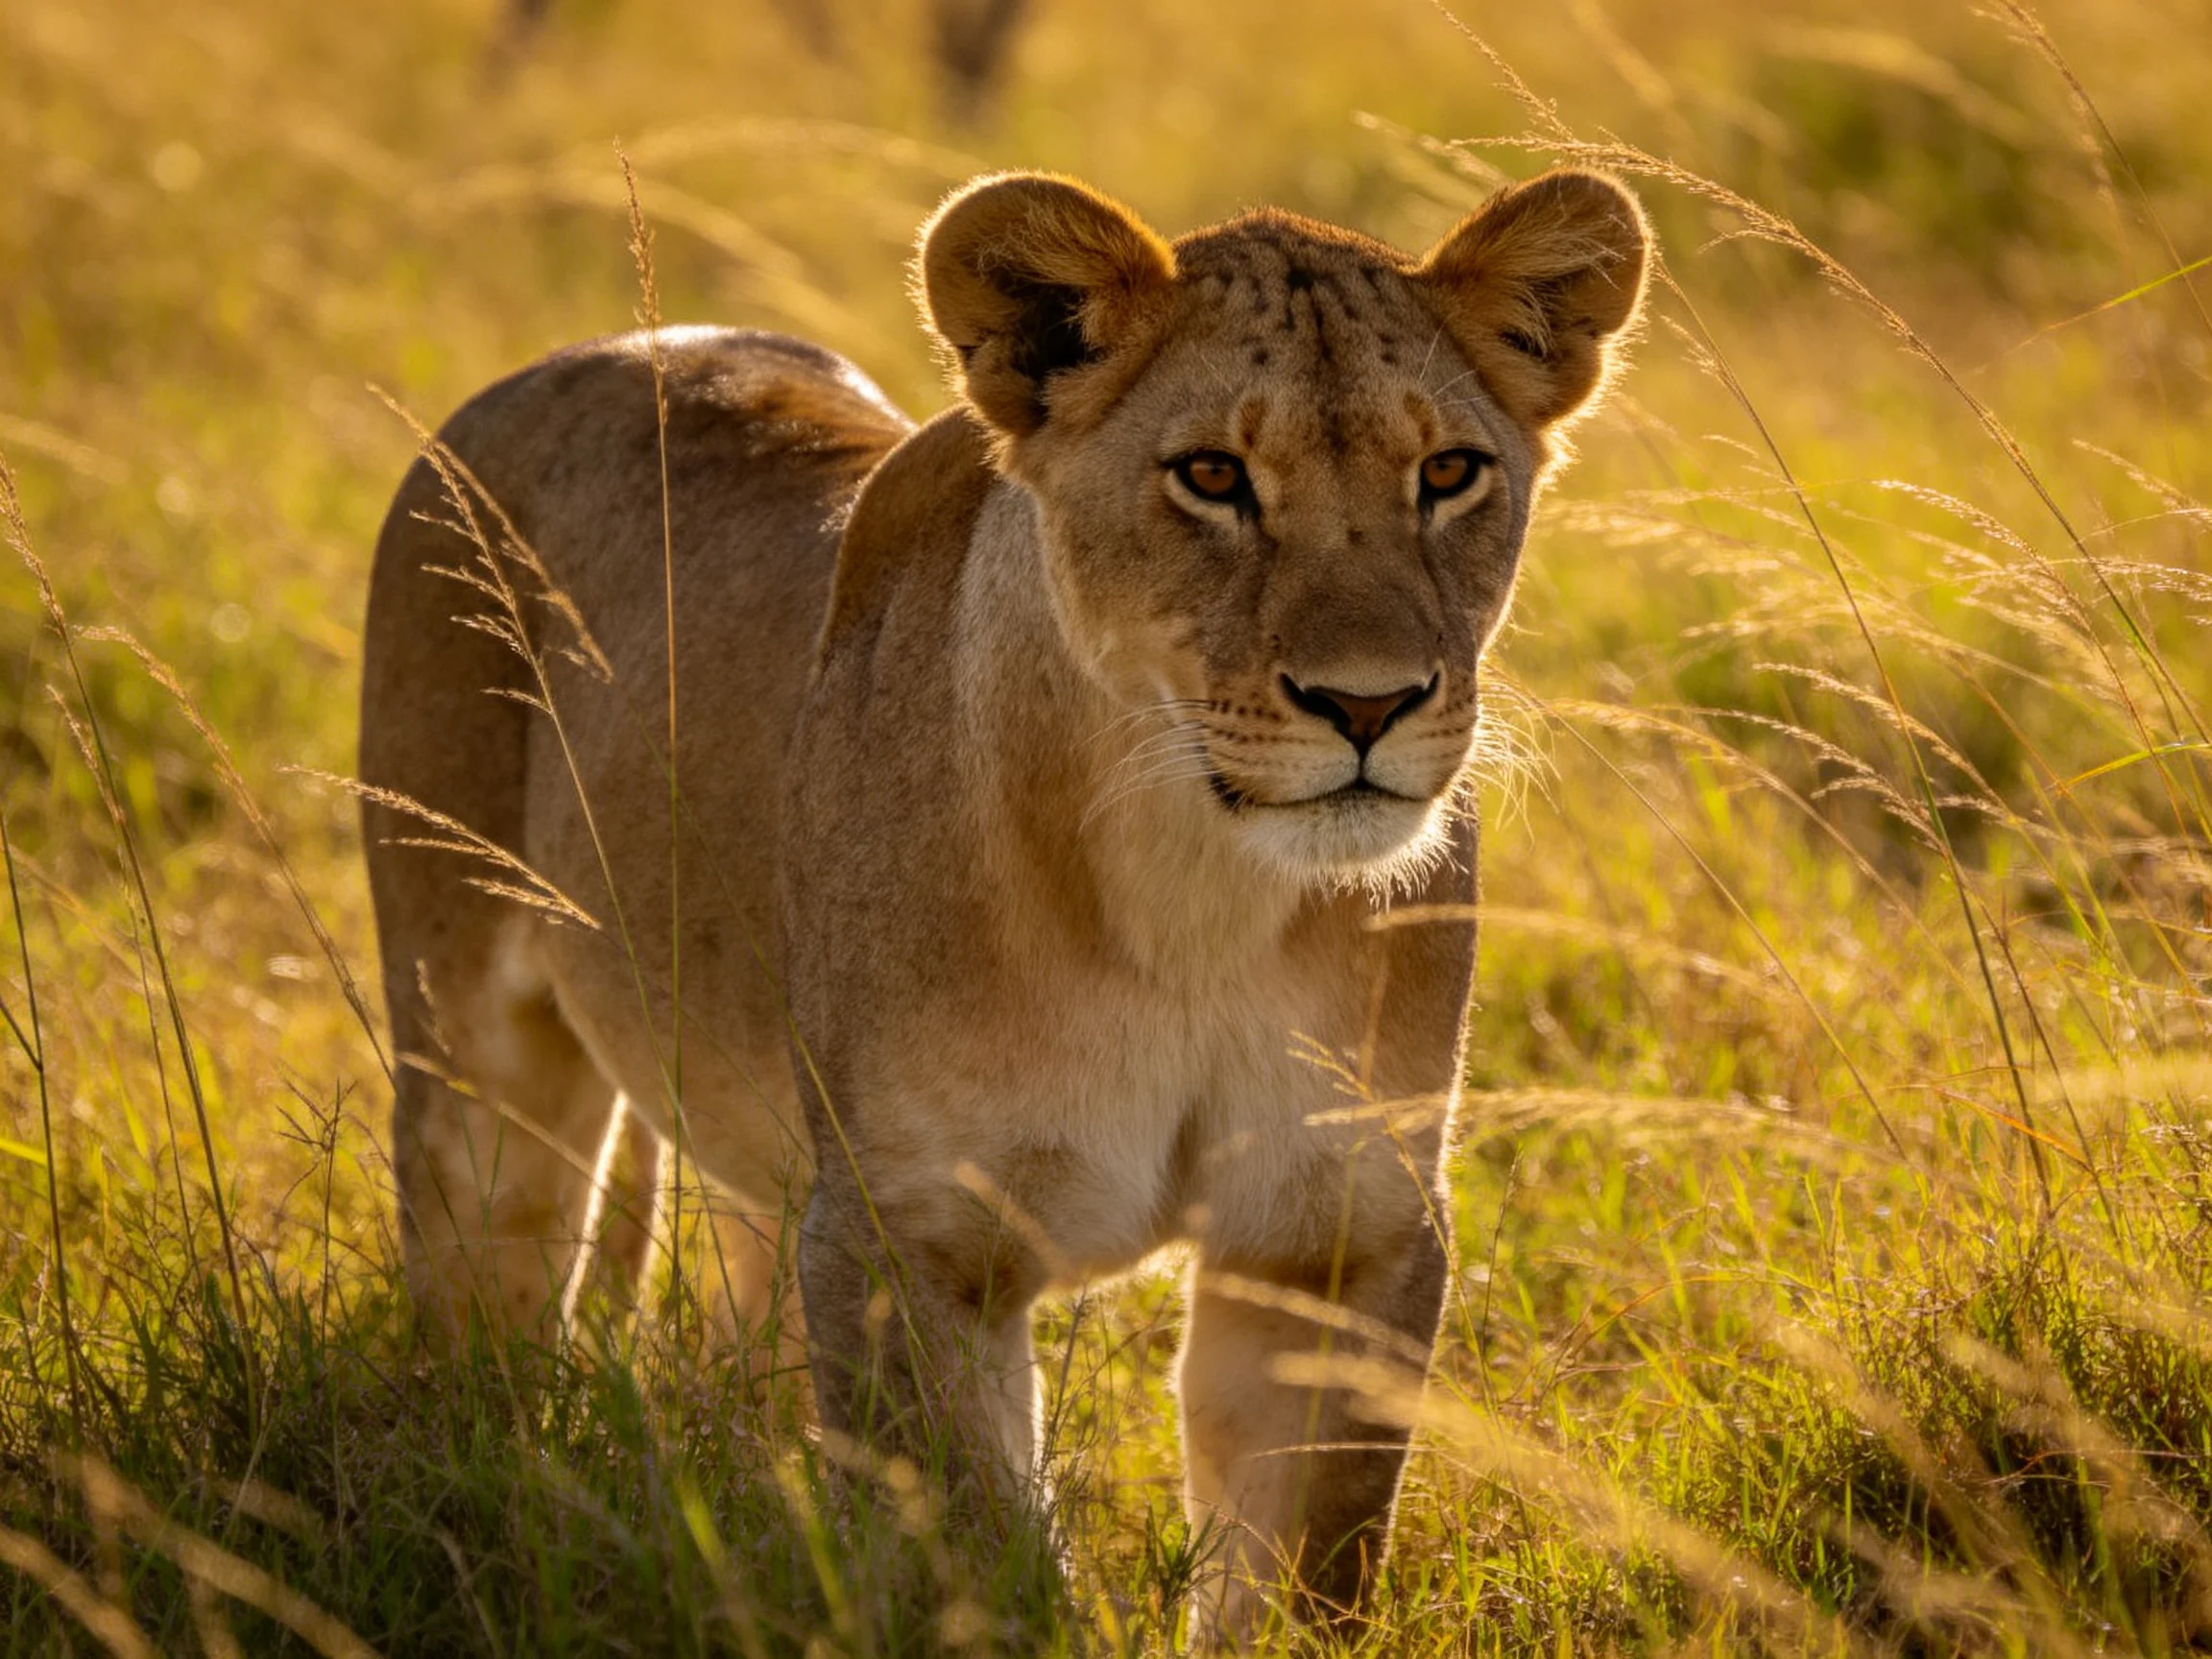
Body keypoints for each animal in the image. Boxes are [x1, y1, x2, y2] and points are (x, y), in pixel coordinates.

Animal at [360, 167, 1648, 1636]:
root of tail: (570, 360)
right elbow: (974, 1561)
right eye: (1212, 476)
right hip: (475, 1045)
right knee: (487, 1268)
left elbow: (1305, 1576)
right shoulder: (912, 1235)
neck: (1192, 895)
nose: (1368, 704)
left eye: (1447, 473)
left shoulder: (1337, 1229)